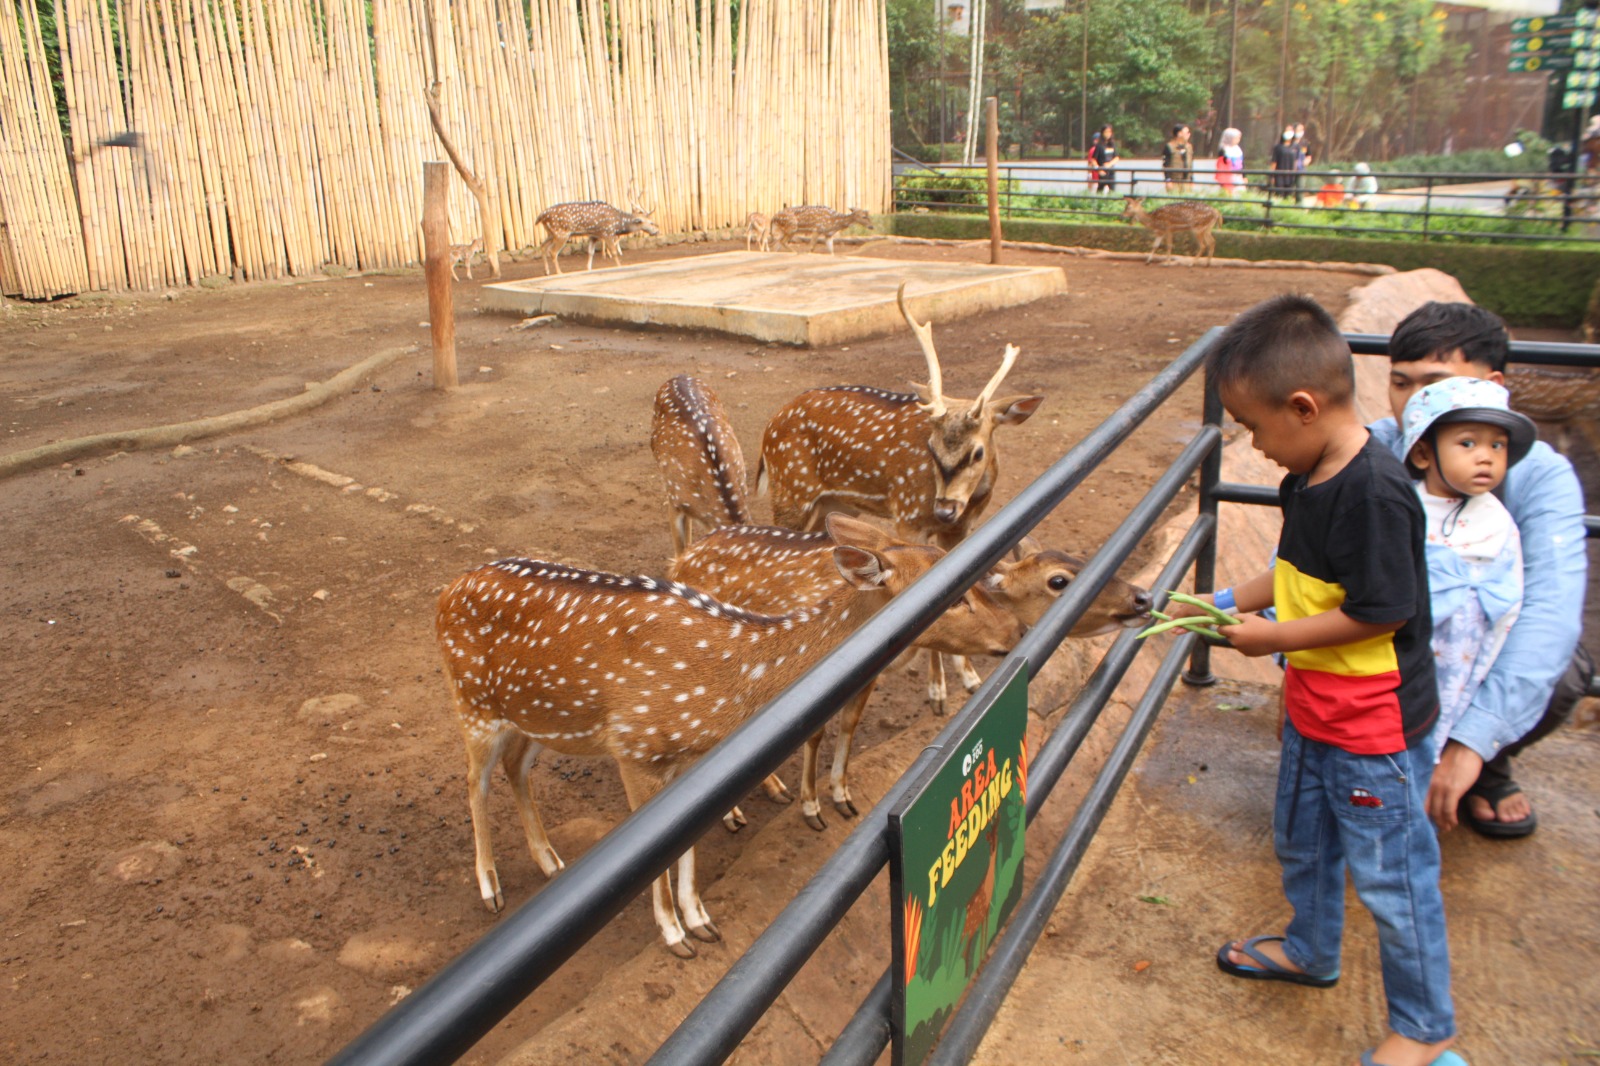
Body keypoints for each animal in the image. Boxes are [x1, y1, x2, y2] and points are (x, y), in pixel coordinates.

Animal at [432, 512, 1017, 947]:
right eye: (955, 594)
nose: (1014, 631)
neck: (726, 694)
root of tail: (444, 593)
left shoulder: (689, 763)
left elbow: (687, 845)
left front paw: (700, 920)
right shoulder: (635, 748)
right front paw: (674, 934)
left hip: (532, 716)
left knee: (516, 769)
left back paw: (550, 860)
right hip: (471, 703)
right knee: (473, 781)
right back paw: (490, 886)